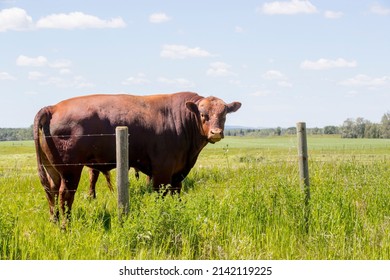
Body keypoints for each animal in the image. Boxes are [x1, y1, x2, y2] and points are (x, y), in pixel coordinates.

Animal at [33, 92, 241, 223]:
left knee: (51, 193)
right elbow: (160, 195)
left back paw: (54, 221)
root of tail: (52, 108)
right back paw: (66, 225)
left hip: (53, 170)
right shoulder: (162, 170)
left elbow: (176, 194)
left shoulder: (178, 173)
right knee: (65, 195)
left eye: (223, 115)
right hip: (70, 170)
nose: (216, 132)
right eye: (203, 114)